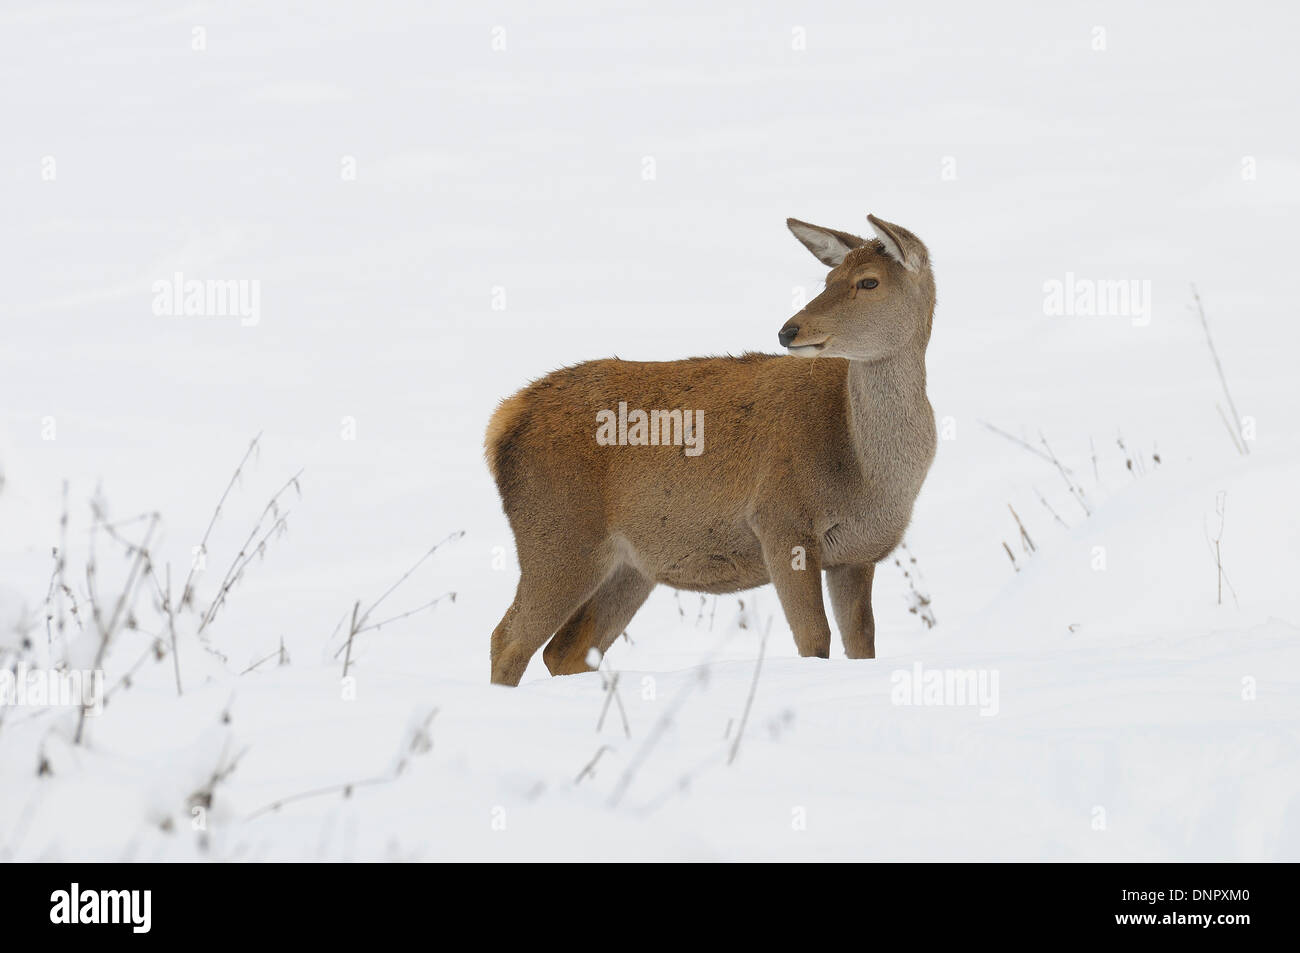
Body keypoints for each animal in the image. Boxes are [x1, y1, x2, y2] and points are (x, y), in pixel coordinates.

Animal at [486, 214, 935, 686]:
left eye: (868, 281)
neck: (866, 473)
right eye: (829, 278)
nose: (788, 330)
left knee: (564, 650)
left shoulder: (857, 554)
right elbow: (815, 641)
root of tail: (503, 420)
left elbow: (862, 646)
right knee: (508, 639)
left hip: (630, 565)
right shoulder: (780, 521)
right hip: (558, 532)